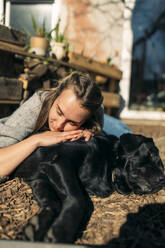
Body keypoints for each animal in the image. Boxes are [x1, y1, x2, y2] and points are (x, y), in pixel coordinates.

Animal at [10, 133, 165, 243]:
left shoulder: (39, 180)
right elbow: (77, 199)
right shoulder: (60, 161)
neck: (110, 161)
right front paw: (61, 231)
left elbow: (52, 203)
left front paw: (37, 226)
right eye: (152, 154)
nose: (162, 179)